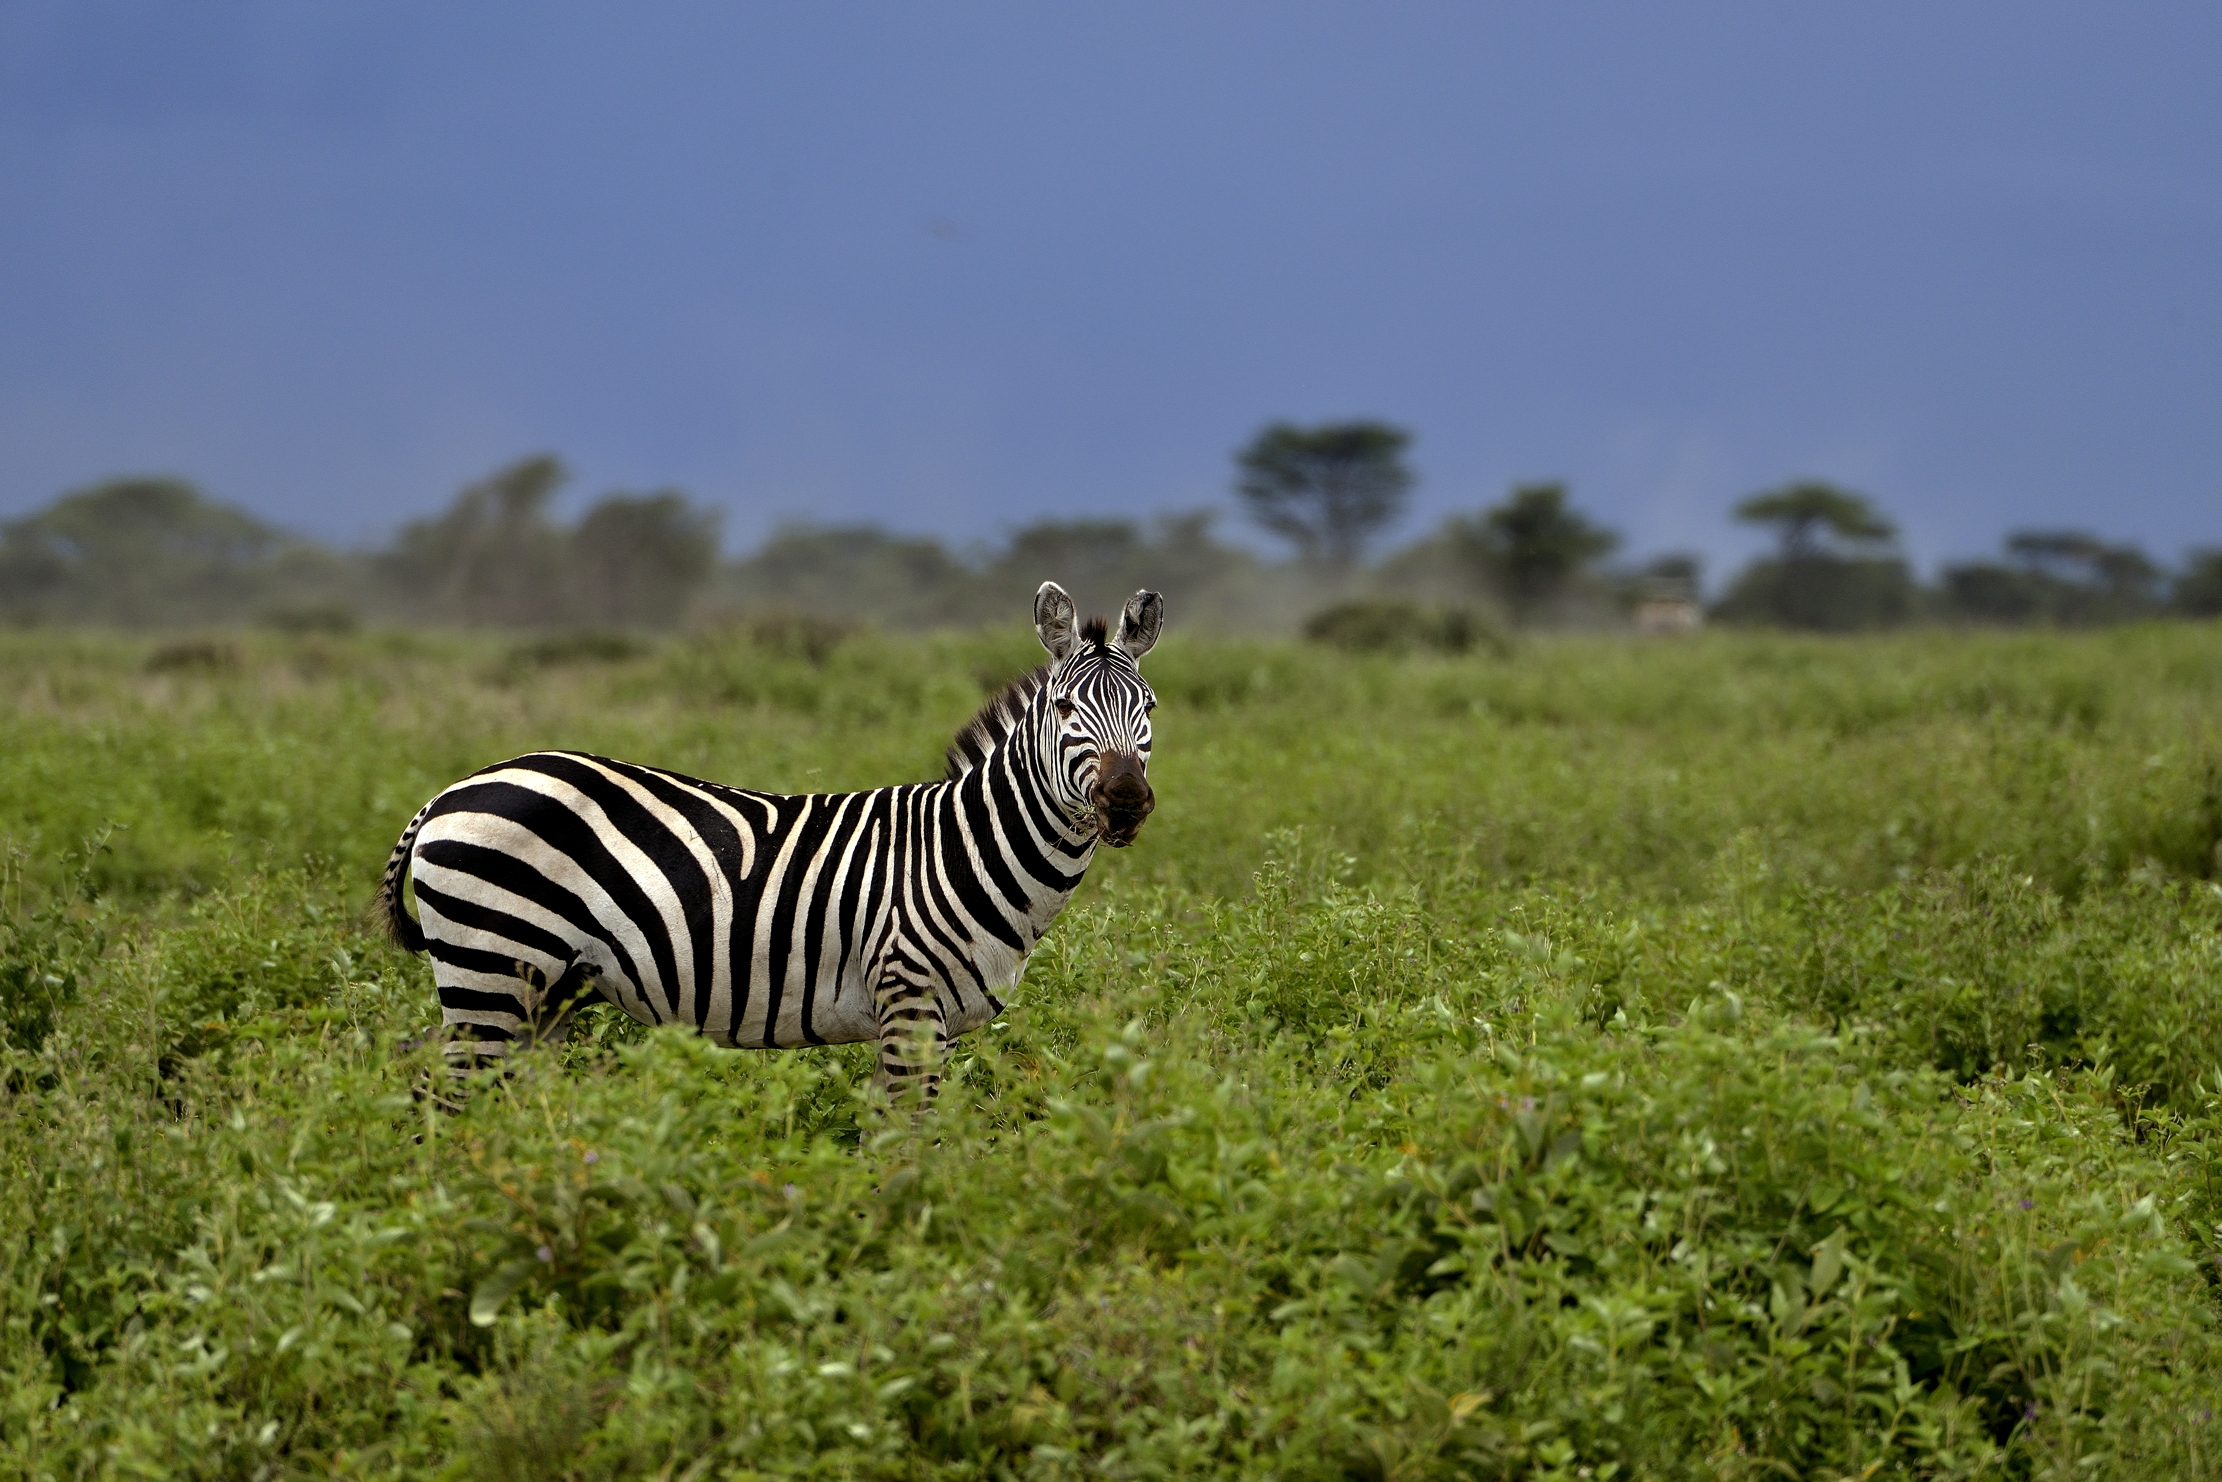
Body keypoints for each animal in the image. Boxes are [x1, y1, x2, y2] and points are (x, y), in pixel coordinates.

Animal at [375, 581, 1161, 1106]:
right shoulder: (908, 999)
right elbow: (913, 1141)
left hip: (542, 994)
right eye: (1066, 707)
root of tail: (451, 791)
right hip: (491, 969)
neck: (966, 849)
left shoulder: (918, 1020)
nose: (1125, 802)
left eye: (1148, 709)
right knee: (444, 1102)